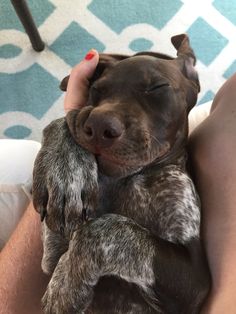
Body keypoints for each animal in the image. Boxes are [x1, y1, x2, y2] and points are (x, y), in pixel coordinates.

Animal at [31, 33, 210, 312]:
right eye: (96, 90)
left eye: (157, 87)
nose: (99, 125)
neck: (129, 178)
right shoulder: (52, 251)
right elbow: (69, 120)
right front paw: (64, 169)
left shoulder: (194, 283)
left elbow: (101, 228)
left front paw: (64, 284)